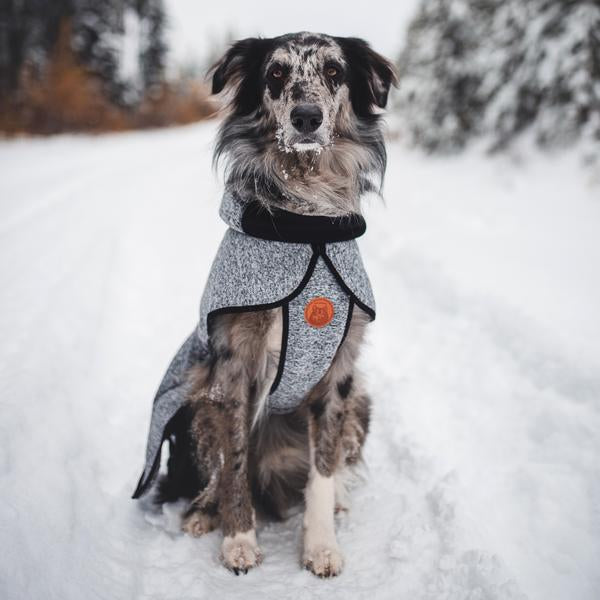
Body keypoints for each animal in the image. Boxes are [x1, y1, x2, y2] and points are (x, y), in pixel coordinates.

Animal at [133, 31, 396, 576]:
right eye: (276, 73)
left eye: (334, 72)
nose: (306, 117)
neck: (304, 226)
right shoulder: (233, 367)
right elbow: (232, 463)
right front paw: (238, 540)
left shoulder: (340, 370)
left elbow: (322, 470)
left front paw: (321, 545)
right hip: (192, 400)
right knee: (209, 477)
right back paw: (202, 514)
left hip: (362, 400)